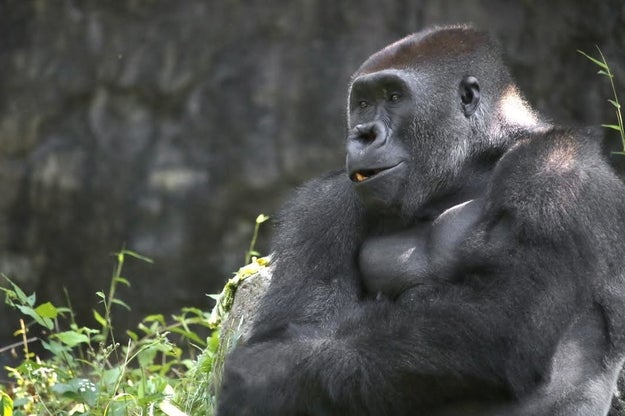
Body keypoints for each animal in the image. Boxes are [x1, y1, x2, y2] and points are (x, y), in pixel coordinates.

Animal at [214, 24, 624, 414]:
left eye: (394, 97)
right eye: (363, 103)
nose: (363, 134)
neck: (471, 162)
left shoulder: (558, 168)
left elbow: (502, 320)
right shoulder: (326, 203)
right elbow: (281, 338)